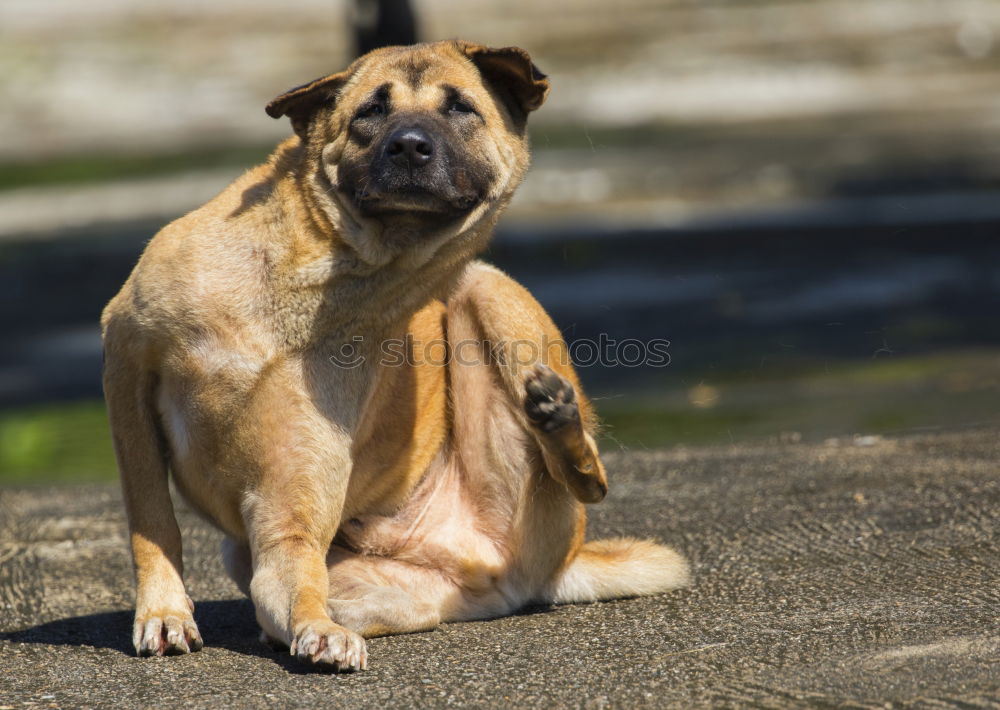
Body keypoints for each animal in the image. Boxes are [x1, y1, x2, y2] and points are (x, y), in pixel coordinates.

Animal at [101, 40, 692, 672]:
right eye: (370, 111)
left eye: (460, 107)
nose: (409, 145)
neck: (324, 278)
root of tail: (523, 578)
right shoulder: (127, 372)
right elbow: (154, 523)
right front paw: (164, 612)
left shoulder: (289, 503)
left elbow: (290, 581)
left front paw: (313, 630)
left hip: (486, 286)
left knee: (591, 481)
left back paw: (558, 420)